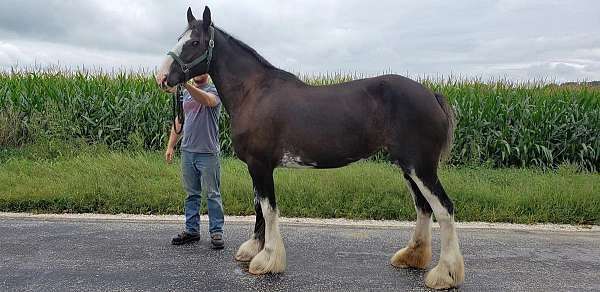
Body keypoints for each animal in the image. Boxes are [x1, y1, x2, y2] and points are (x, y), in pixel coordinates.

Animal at [156, 6, 464, 290]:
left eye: (194, 42)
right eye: (179, 38)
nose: (161, 77)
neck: (254, 92)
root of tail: (432, 95)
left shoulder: (260, 165)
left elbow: (268, 209)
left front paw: (267, 260)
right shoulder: (256, 167)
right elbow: (258, 207)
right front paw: (253, 250)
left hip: (420, 167)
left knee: (444, 208)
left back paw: (444, 274)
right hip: (408, 167)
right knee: (423, 207)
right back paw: (412, 257)